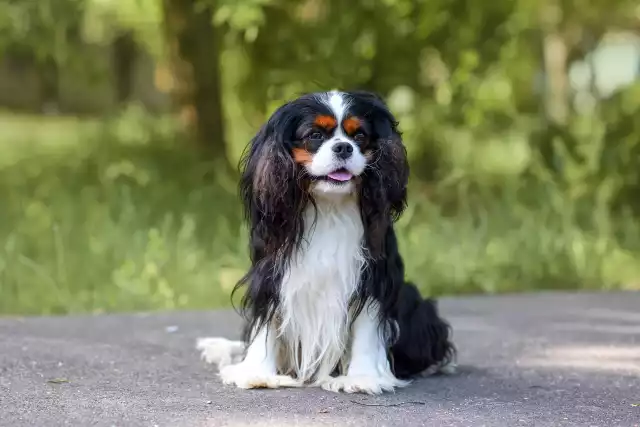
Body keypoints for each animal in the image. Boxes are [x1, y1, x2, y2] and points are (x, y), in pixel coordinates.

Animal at [196, 89, 456, 394]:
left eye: (360, 136)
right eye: (315, 135)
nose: (343, 147)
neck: (329, 205)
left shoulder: (372, 276)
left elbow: (367, 327)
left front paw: (361, 378)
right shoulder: (271, 273)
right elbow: (266, 323)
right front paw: (257, 373)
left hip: (414, 301)